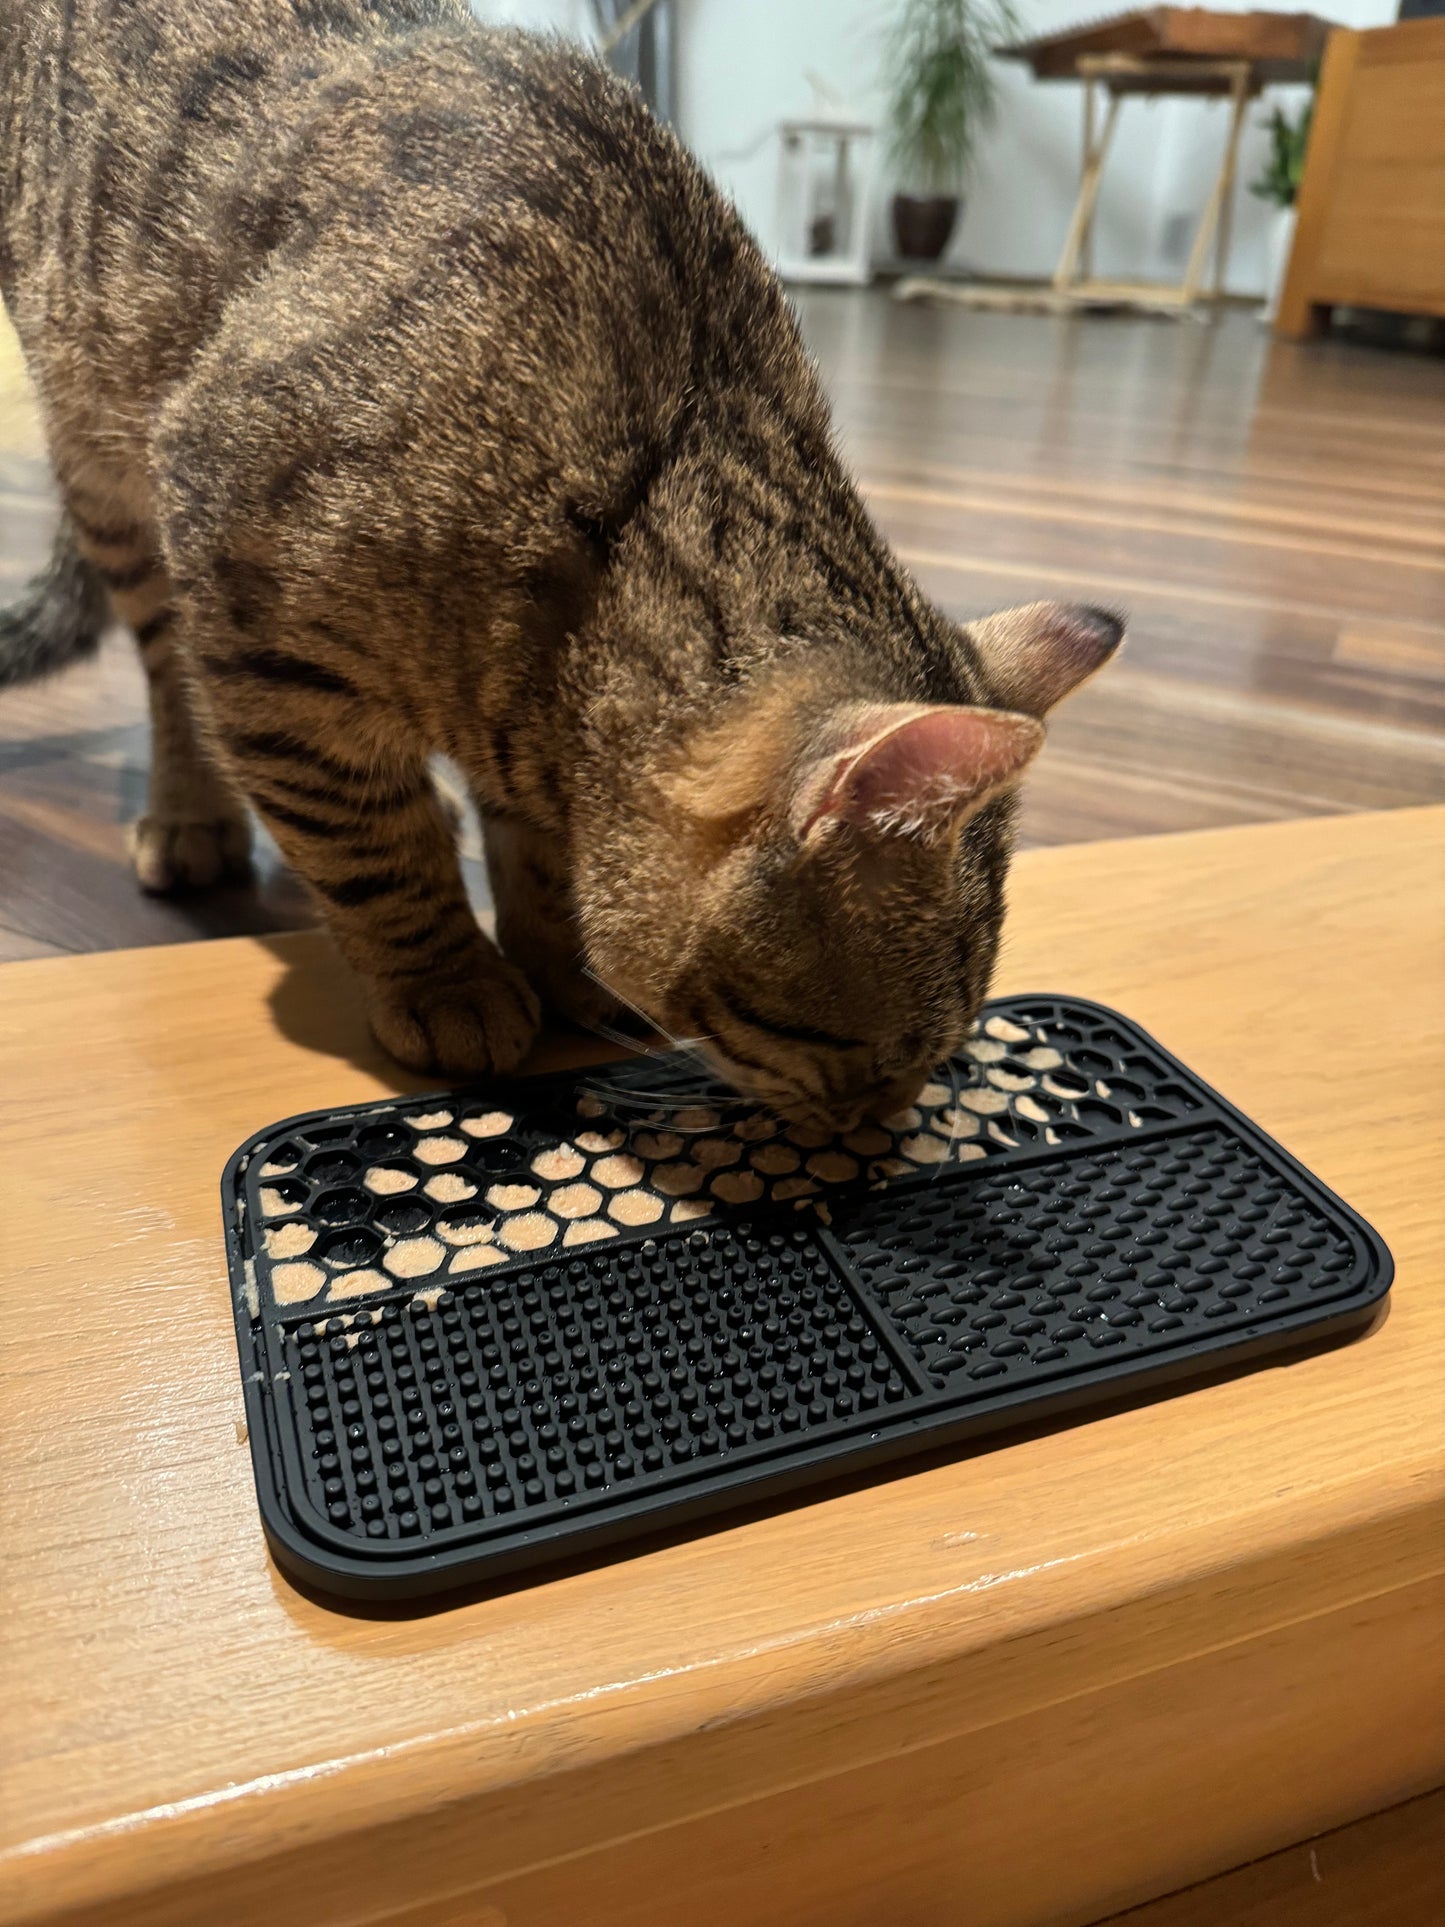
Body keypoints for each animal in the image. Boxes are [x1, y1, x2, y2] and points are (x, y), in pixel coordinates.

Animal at [0, 0, 1117, 1125]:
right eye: (871, 1055)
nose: (879, 1124)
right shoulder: (254, 610)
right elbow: (368, 838)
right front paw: (448, 979)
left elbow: (532, 857)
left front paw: (555, 957)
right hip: (107, 464)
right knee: (165, 667)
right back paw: (192, 813)